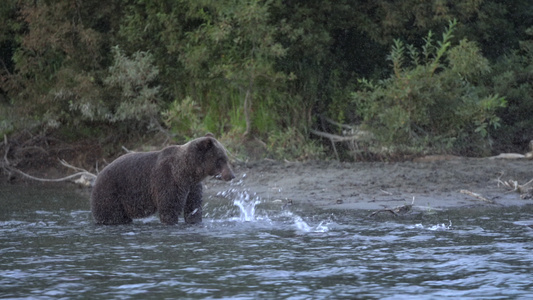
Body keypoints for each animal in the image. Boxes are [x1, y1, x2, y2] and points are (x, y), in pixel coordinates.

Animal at [90, 134, 234, 225]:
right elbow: (169, 208)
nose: (232, 175)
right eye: (220, 159)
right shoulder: (168, 180)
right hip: (111, 194)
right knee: (113, 216)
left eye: (226, 158)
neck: (187, 171)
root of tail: (97, 176)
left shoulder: (193, 186)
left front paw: (194, 220)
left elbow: (193, 207)